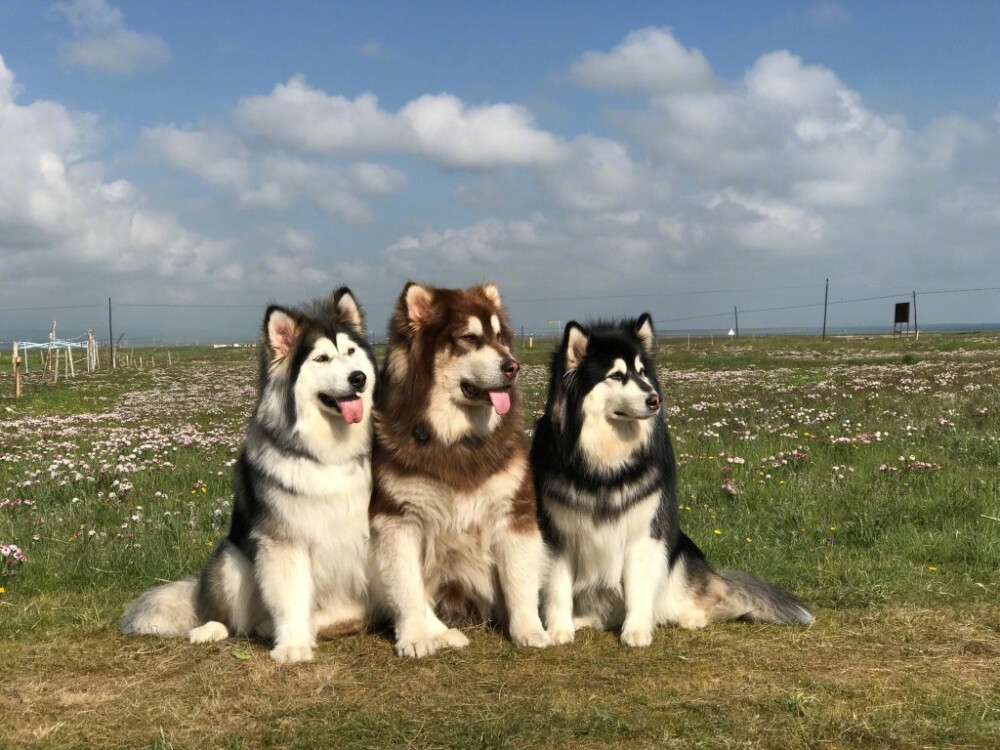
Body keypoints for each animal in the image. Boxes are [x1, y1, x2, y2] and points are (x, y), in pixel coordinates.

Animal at [121, 288, 376, 664]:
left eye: (351, 352)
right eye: (322, 359)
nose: (359, 378)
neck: (328, 452)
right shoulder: (282, 539)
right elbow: (290, 597)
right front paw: (293, 645)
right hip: (230, 559)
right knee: (230, 619)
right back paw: (215, 628)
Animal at [372, 280, 552, 656]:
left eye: (499, 336)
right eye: (468, 338)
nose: (513, 366)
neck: (458, 440)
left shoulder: (514, 513)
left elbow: (519, 581)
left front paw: (529, 630)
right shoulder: (396, 518)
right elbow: (407, 588)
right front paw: (415, 637)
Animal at [532, 314, 812, 648]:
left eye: (642, 372)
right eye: (616, 375)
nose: (656, 399)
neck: (606, 462)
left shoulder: (646, 530)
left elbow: (639, 587)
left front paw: (636, 631)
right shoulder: (557, 534)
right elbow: (558, 588)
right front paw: (559, 631)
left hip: (681, 553)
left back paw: (688, 617)